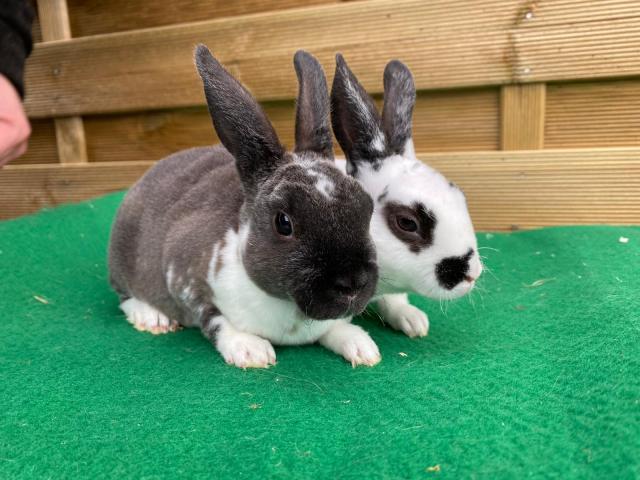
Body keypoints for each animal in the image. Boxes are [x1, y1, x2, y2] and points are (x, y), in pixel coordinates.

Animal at [107, 47, 382, 368]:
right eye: (283, 223)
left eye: (366, 207)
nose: (353, 284)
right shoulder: (183, 279)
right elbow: (214, 319)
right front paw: (251, 351)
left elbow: (335, 328)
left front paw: (363, 347)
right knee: (125, 296)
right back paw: (152, 317)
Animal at [330, 54, 480, 340]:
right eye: (407, 223)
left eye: (461, 197)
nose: (472, 274)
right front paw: (356, 342)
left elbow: (395, 300)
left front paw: (414, 322)